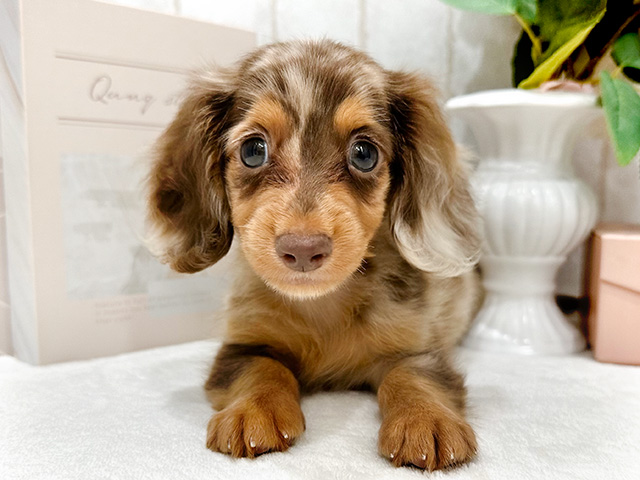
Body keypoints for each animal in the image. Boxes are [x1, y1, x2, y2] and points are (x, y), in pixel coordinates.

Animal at [148, 39, 482, 470]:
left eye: (364, 154)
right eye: (253, 150)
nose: (303, 249)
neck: (322, 306)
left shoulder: (418, 345)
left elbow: (413, 376)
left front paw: (426, 419)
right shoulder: (243, 344)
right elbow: (262, 369)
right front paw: (253, 411)